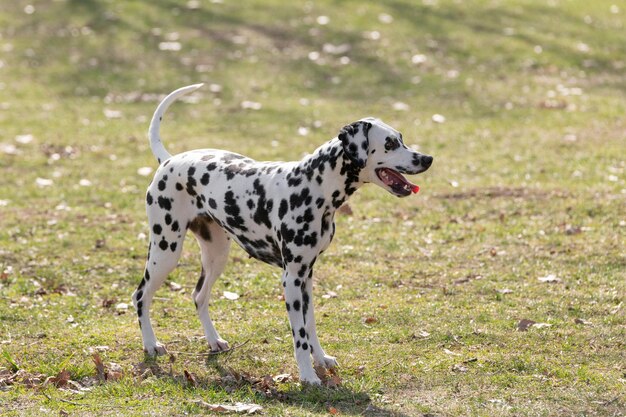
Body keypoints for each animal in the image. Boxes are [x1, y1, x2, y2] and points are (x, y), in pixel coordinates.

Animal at [132, 84, 432, 384]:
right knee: (141, 295)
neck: (313, 186)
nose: (427, 159)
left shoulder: (307, 276)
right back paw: (150, 344)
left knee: (199, 296)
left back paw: (214, 341)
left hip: (216, 255)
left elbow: (310, 326)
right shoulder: (291, 279)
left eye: (401, 138)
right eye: (390, 143)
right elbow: (299, 335)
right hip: (165, 251)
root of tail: (169, 160)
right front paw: (308, 376)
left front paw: (321, 359)